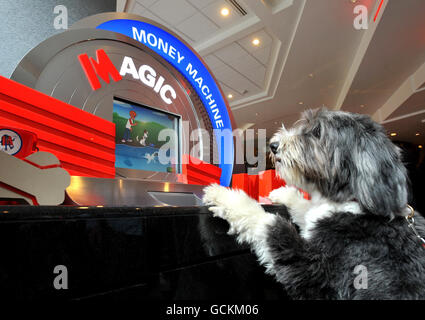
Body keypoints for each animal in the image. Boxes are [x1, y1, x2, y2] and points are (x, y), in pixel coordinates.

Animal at [201, 109, 424, 298]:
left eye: (317, 133)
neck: (353, 202)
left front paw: (227, 197)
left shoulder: (311, 271)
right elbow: (306, 210)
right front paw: (284, 194)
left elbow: (269, 224)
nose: (273, 145)